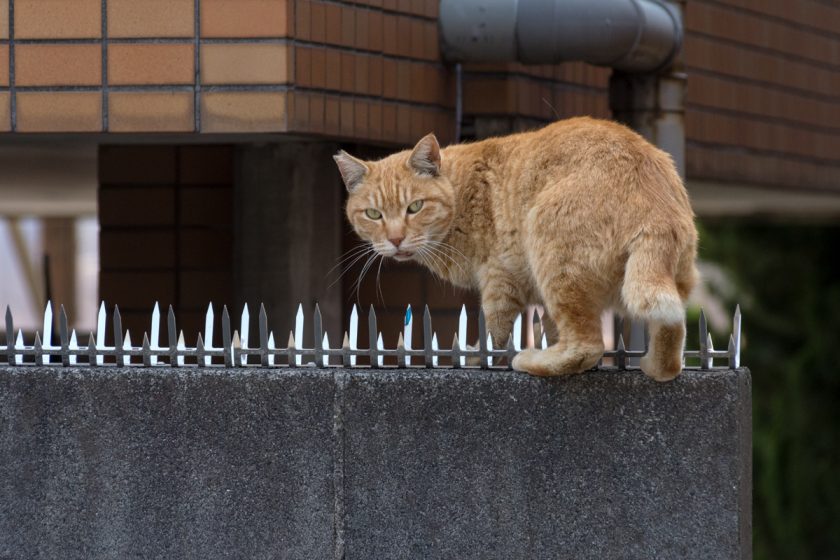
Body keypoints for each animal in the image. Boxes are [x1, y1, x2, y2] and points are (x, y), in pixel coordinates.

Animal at [334, 117, 696, 380]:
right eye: (373, 214)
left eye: (415, 207)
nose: (395, 240)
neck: (460, 193)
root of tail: (658, 211)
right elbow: (542, 326)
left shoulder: (498, 277)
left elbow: (495, 332)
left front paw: (476, 356)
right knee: (673, 334)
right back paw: (655, 367)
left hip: (553, 256)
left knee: (586, 345)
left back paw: (533, 360)